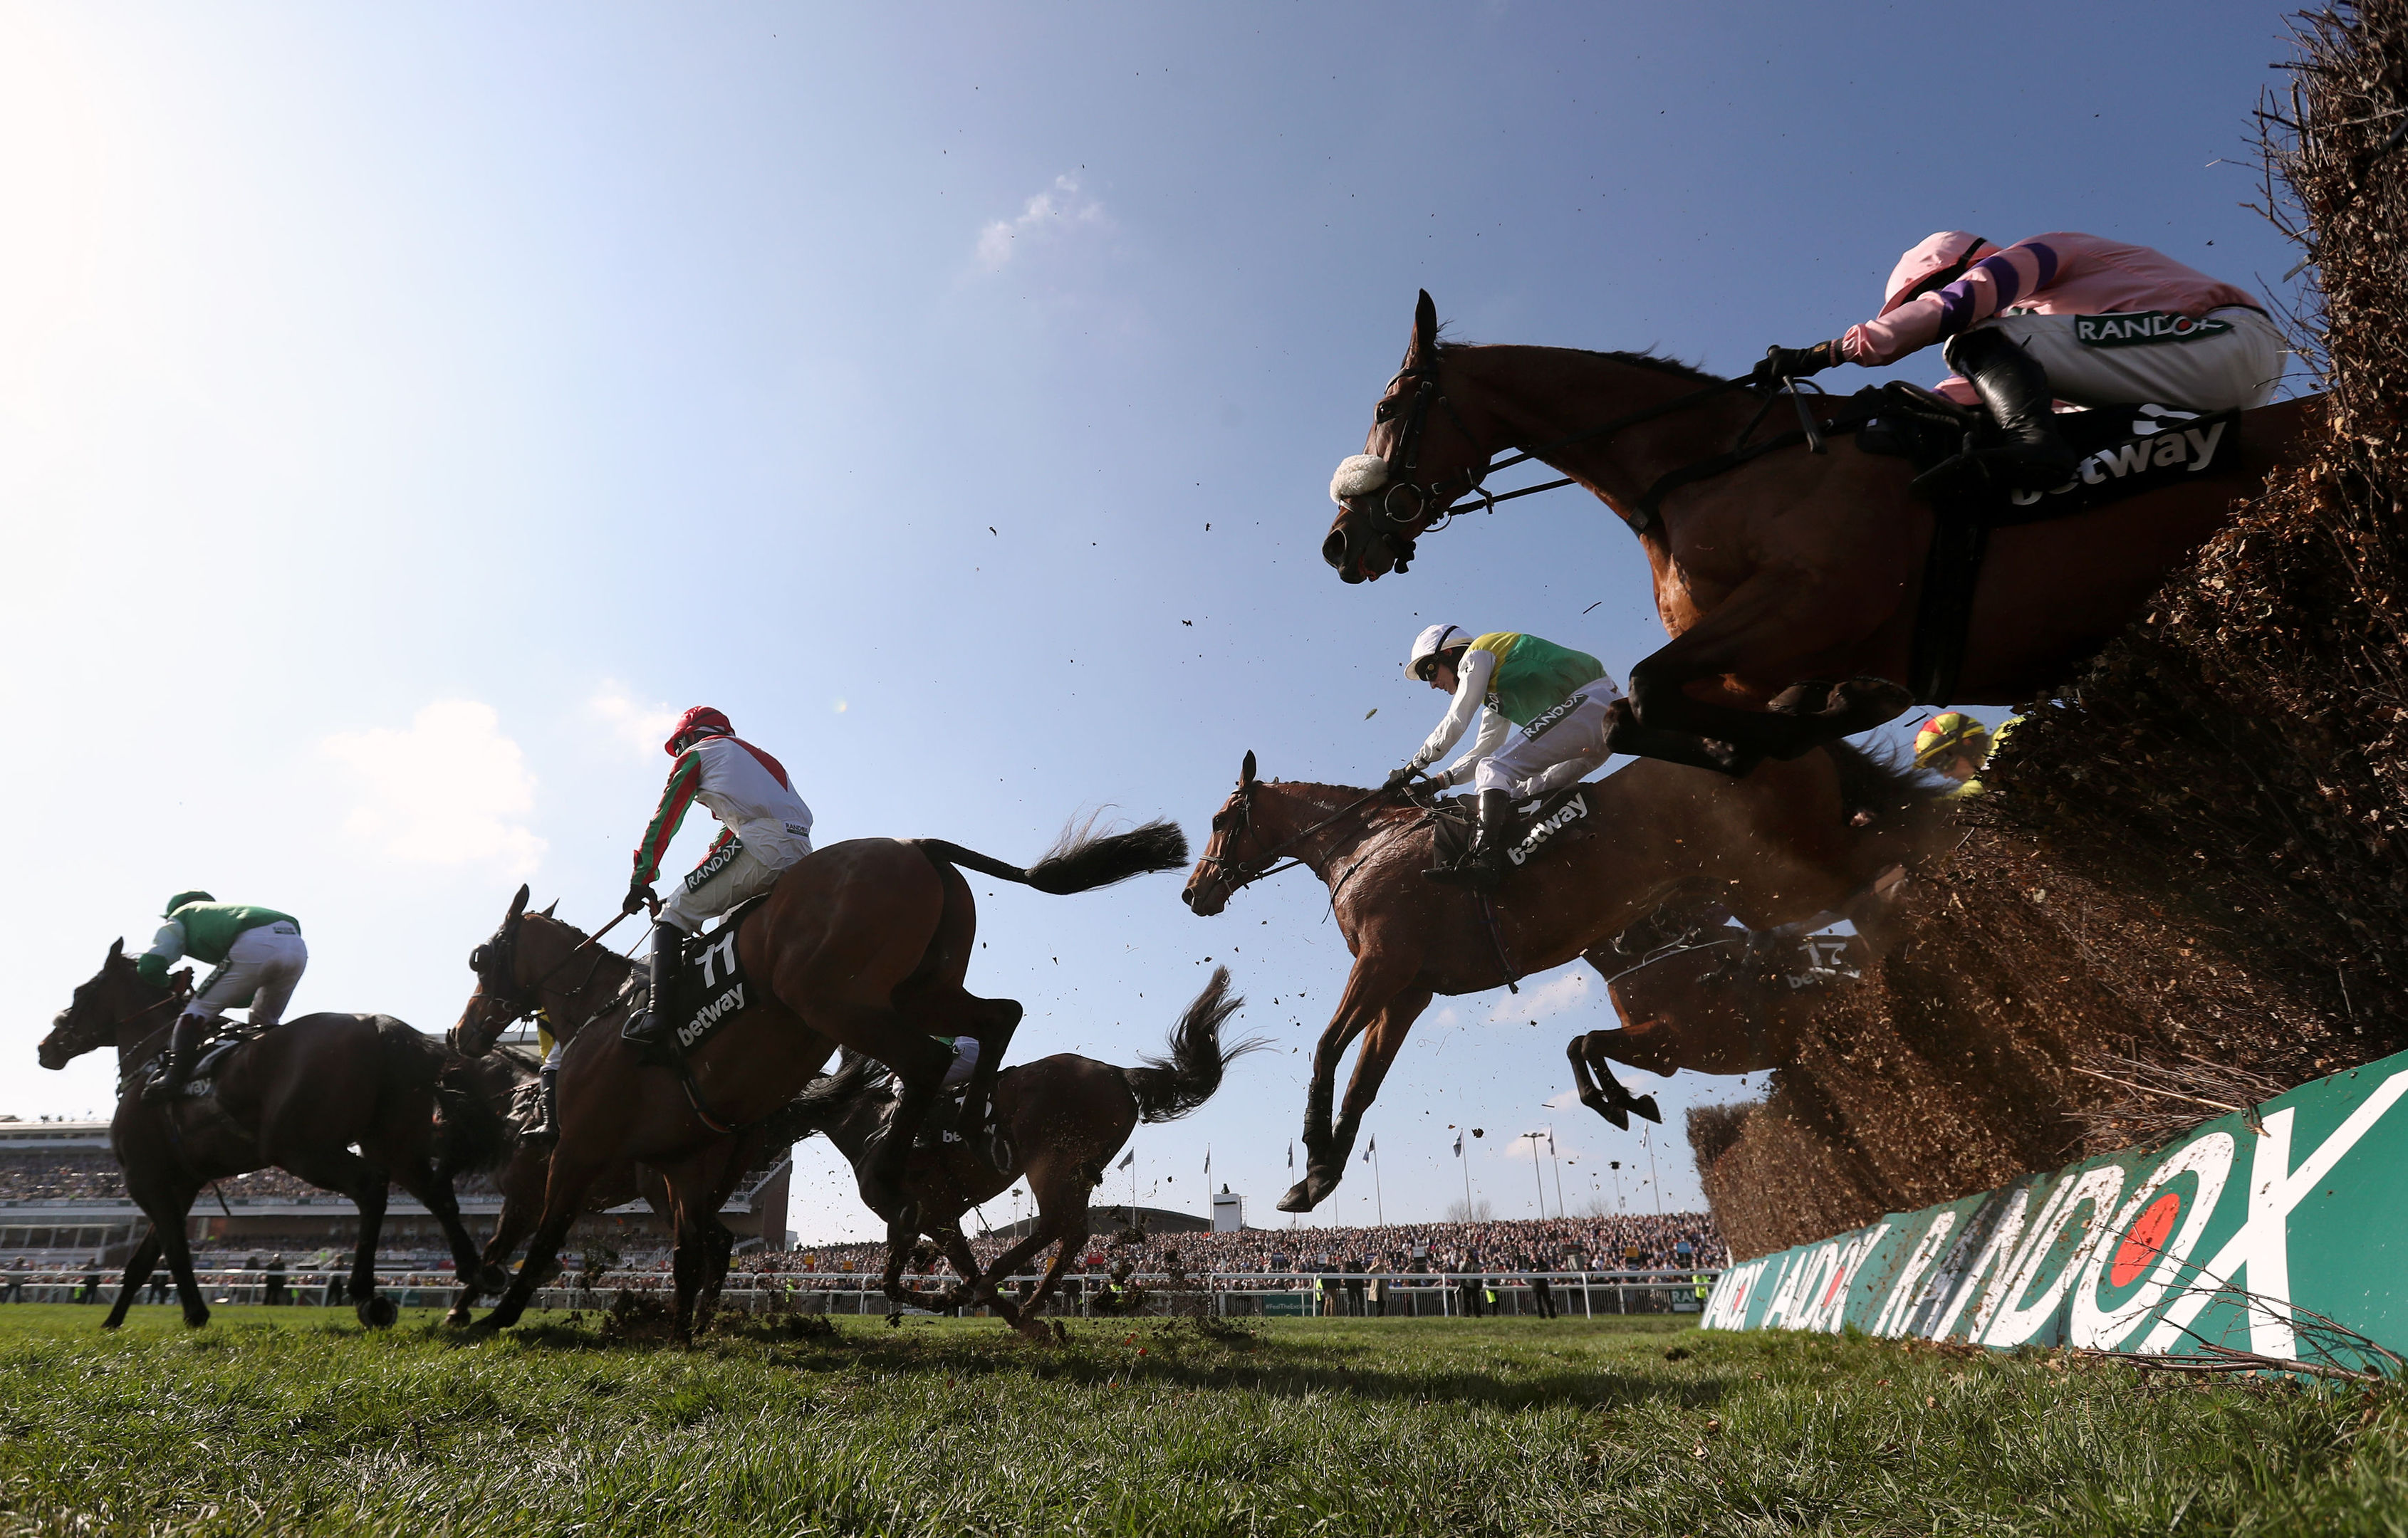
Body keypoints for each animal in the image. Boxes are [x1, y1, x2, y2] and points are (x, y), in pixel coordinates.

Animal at [40, 938, 510, 1328]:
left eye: (81, 993)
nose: (47, 1047)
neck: (157, 1058)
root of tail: (378, 1026)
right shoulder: (182, 1182)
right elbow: (146, 1257)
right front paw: (113, 1322)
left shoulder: (144, 1177)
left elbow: (173, 1248)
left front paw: (194, 1312)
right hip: (391, 1143)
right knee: (437, 1194)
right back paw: (478, 1271)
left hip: (299, 1147)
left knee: (371, 1187)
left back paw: (366, 1293)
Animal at [452, 818, 1184, 1338]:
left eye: (480, 958)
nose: (464, 1033)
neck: (606, 1012)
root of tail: (915, 844)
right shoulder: (678, 1165)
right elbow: (688, 1251)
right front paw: (682, 1328)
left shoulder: (580, 1152)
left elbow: (541, 1237)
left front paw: (490, 1312)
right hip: (918, 990)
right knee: (1000, 1016)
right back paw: (972, 1133)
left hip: (839, 1001)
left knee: (937, 1073)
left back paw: (902, 1180)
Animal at [1174, 750, 1945, 1213]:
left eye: (1219, 818)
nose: (1192, 892)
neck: (1363, 846)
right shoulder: (1410, 990)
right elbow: (1363, 1083)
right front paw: (1318, 1179)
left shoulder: (1383, 964)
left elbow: (1327, 1051)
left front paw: (1311, 1158)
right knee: (1897, 847)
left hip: (1771, 874)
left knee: (1893, 863)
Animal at [1319, 288, 2311, 770]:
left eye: (1387, 406)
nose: (1340, 543)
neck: (1708, 465)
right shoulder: (1751, 656)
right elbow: (1637, 715)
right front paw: (1784, 731)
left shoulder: (1818, 600)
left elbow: (1642, 691)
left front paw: (1815, 723)